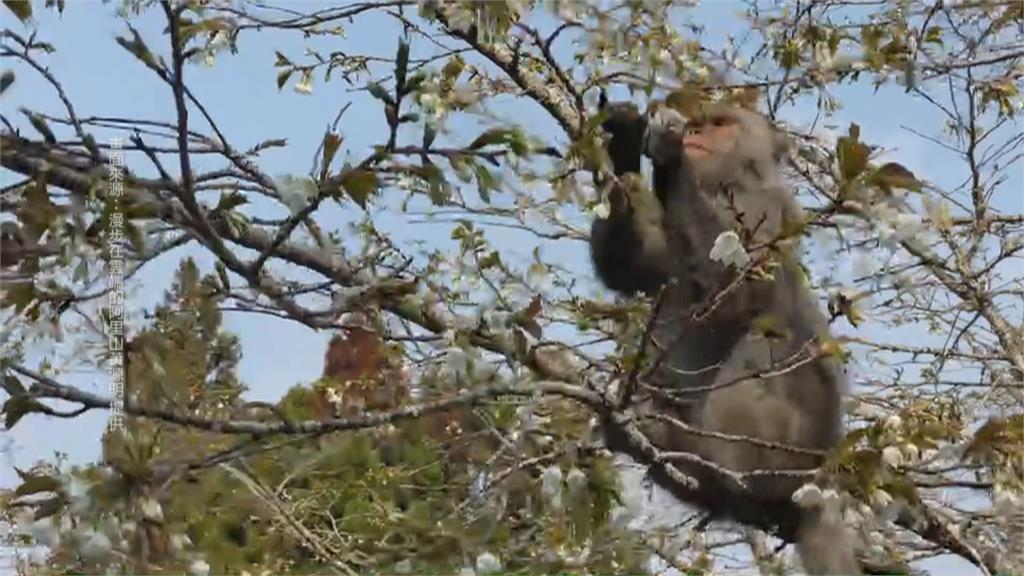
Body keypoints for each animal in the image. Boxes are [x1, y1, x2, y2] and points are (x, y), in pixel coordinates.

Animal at [589, 96, 860, 569]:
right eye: (701, 123)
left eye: (719, 124)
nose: (695, 134)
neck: (720, 185)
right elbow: (630, 269)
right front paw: (623, 146)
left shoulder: (757, 207)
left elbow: (739, 291)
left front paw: (669, 156)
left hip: (791, 452)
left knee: (761, 341)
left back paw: (735, 475)